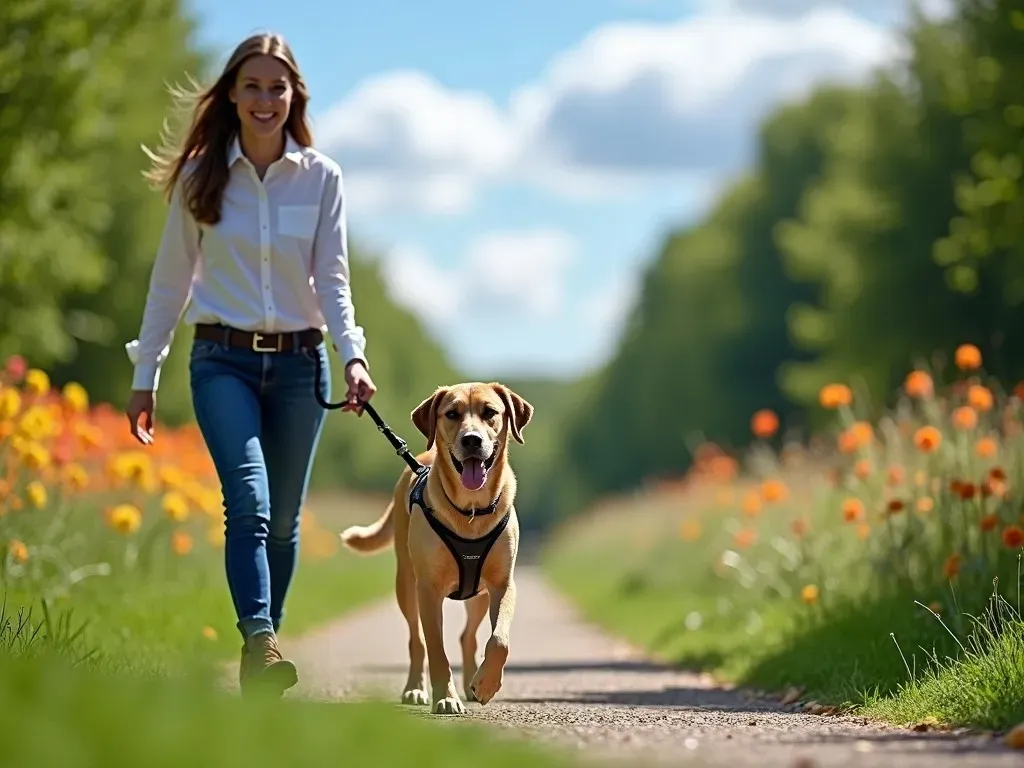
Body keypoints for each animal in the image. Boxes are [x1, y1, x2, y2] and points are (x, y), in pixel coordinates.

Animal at [342, 382, 536, 716]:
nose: (471, 440)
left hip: (479, 596)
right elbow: (435, 648)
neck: (471, 511)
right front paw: (445, 697)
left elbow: (499, 640)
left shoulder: (502, 584)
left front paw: (486, 684)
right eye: (452, 414)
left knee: (468, 637)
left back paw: (472, 682)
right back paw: (415, 689)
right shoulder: (428, 589)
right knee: (416, 640)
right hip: (406, 584)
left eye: (490, 412)